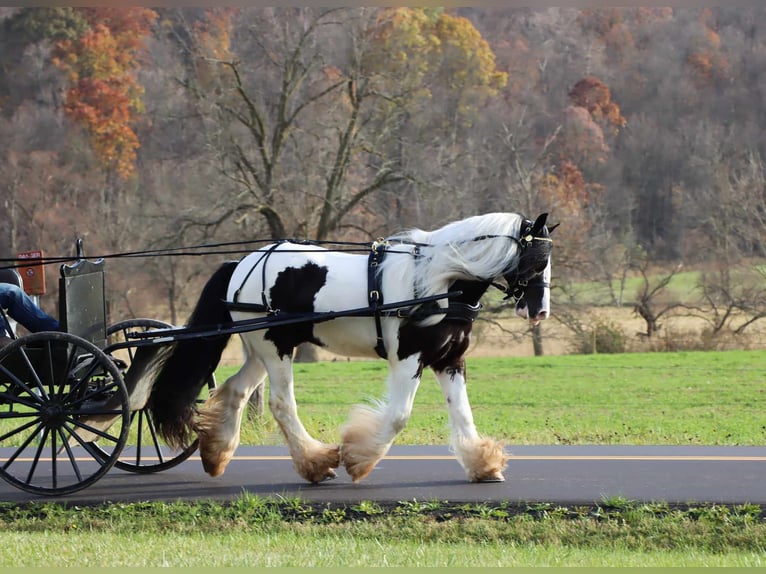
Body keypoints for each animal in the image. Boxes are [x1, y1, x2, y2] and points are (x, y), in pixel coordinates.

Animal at [141, 214, 556, 484]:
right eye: (537, 261)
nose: (540, 311)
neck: (439, 281)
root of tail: (243, 262)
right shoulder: (408, 359)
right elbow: (398, 417)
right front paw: (358, 459)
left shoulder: (449, 360)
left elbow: (463, 414)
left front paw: (483, 464)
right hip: (276, 349)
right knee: (280, 403)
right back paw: (315, 463)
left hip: (261, 349)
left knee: (236, 391)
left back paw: (217, 453)